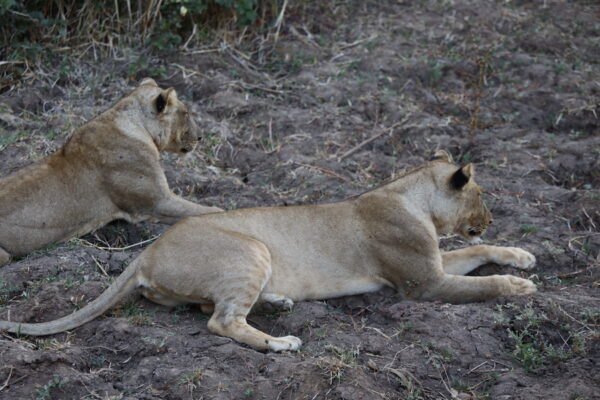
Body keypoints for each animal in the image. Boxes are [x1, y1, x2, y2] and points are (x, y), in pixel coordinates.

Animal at [0, 78, 221, 266]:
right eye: (186, 113)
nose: (201, 137)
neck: (136, 125)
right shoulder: (156, 202)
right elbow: (209, 211)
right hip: (4, 255)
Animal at [0, 151, 536, 351]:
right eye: (481, 195)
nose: (491, 217)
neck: (412, 197)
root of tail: (146, 253)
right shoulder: (423, 283)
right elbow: (482, 283)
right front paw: (520, 285)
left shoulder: (433, 261)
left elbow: (484, 253)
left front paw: (523, 255)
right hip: (251, 248)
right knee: (220, 321)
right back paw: (280, 342)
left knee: (209, 307)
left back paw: (278, 303)